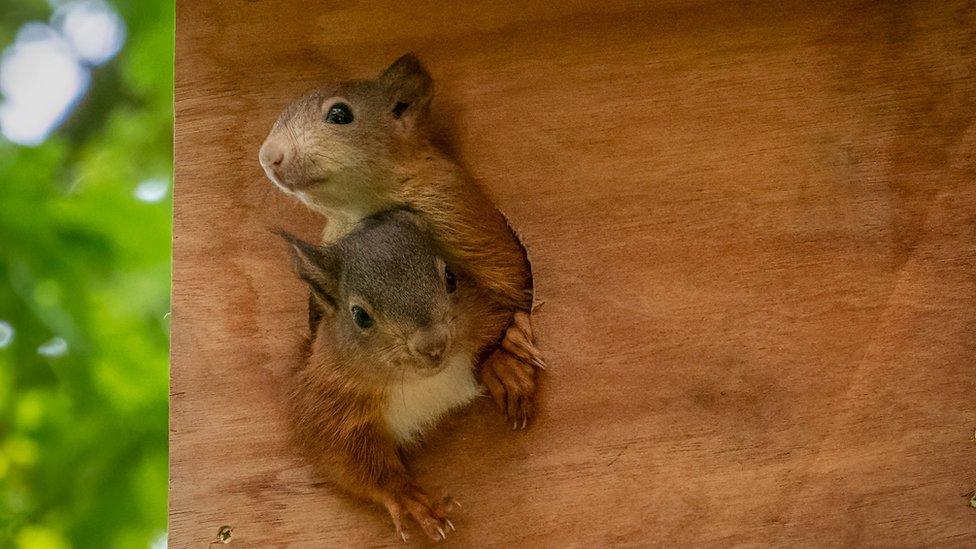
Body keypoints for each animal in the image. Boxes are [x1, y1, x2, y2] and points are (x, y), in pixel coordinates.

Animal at [260, 54, 544, 424]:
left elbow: (511, 294)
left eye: (340, 114)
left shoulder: (469, 227)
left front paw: (507, 356)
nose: (268, 157)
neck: (363, 208)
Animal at [278, 209, 510, 540]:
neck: (422, 381)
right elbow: (340, 454)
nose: (433, 345)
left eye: (451, 278)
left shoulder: (482, 313)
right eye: (360, 315)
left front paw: (505, 366)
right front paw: (410, 498)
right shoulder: (326, 401)